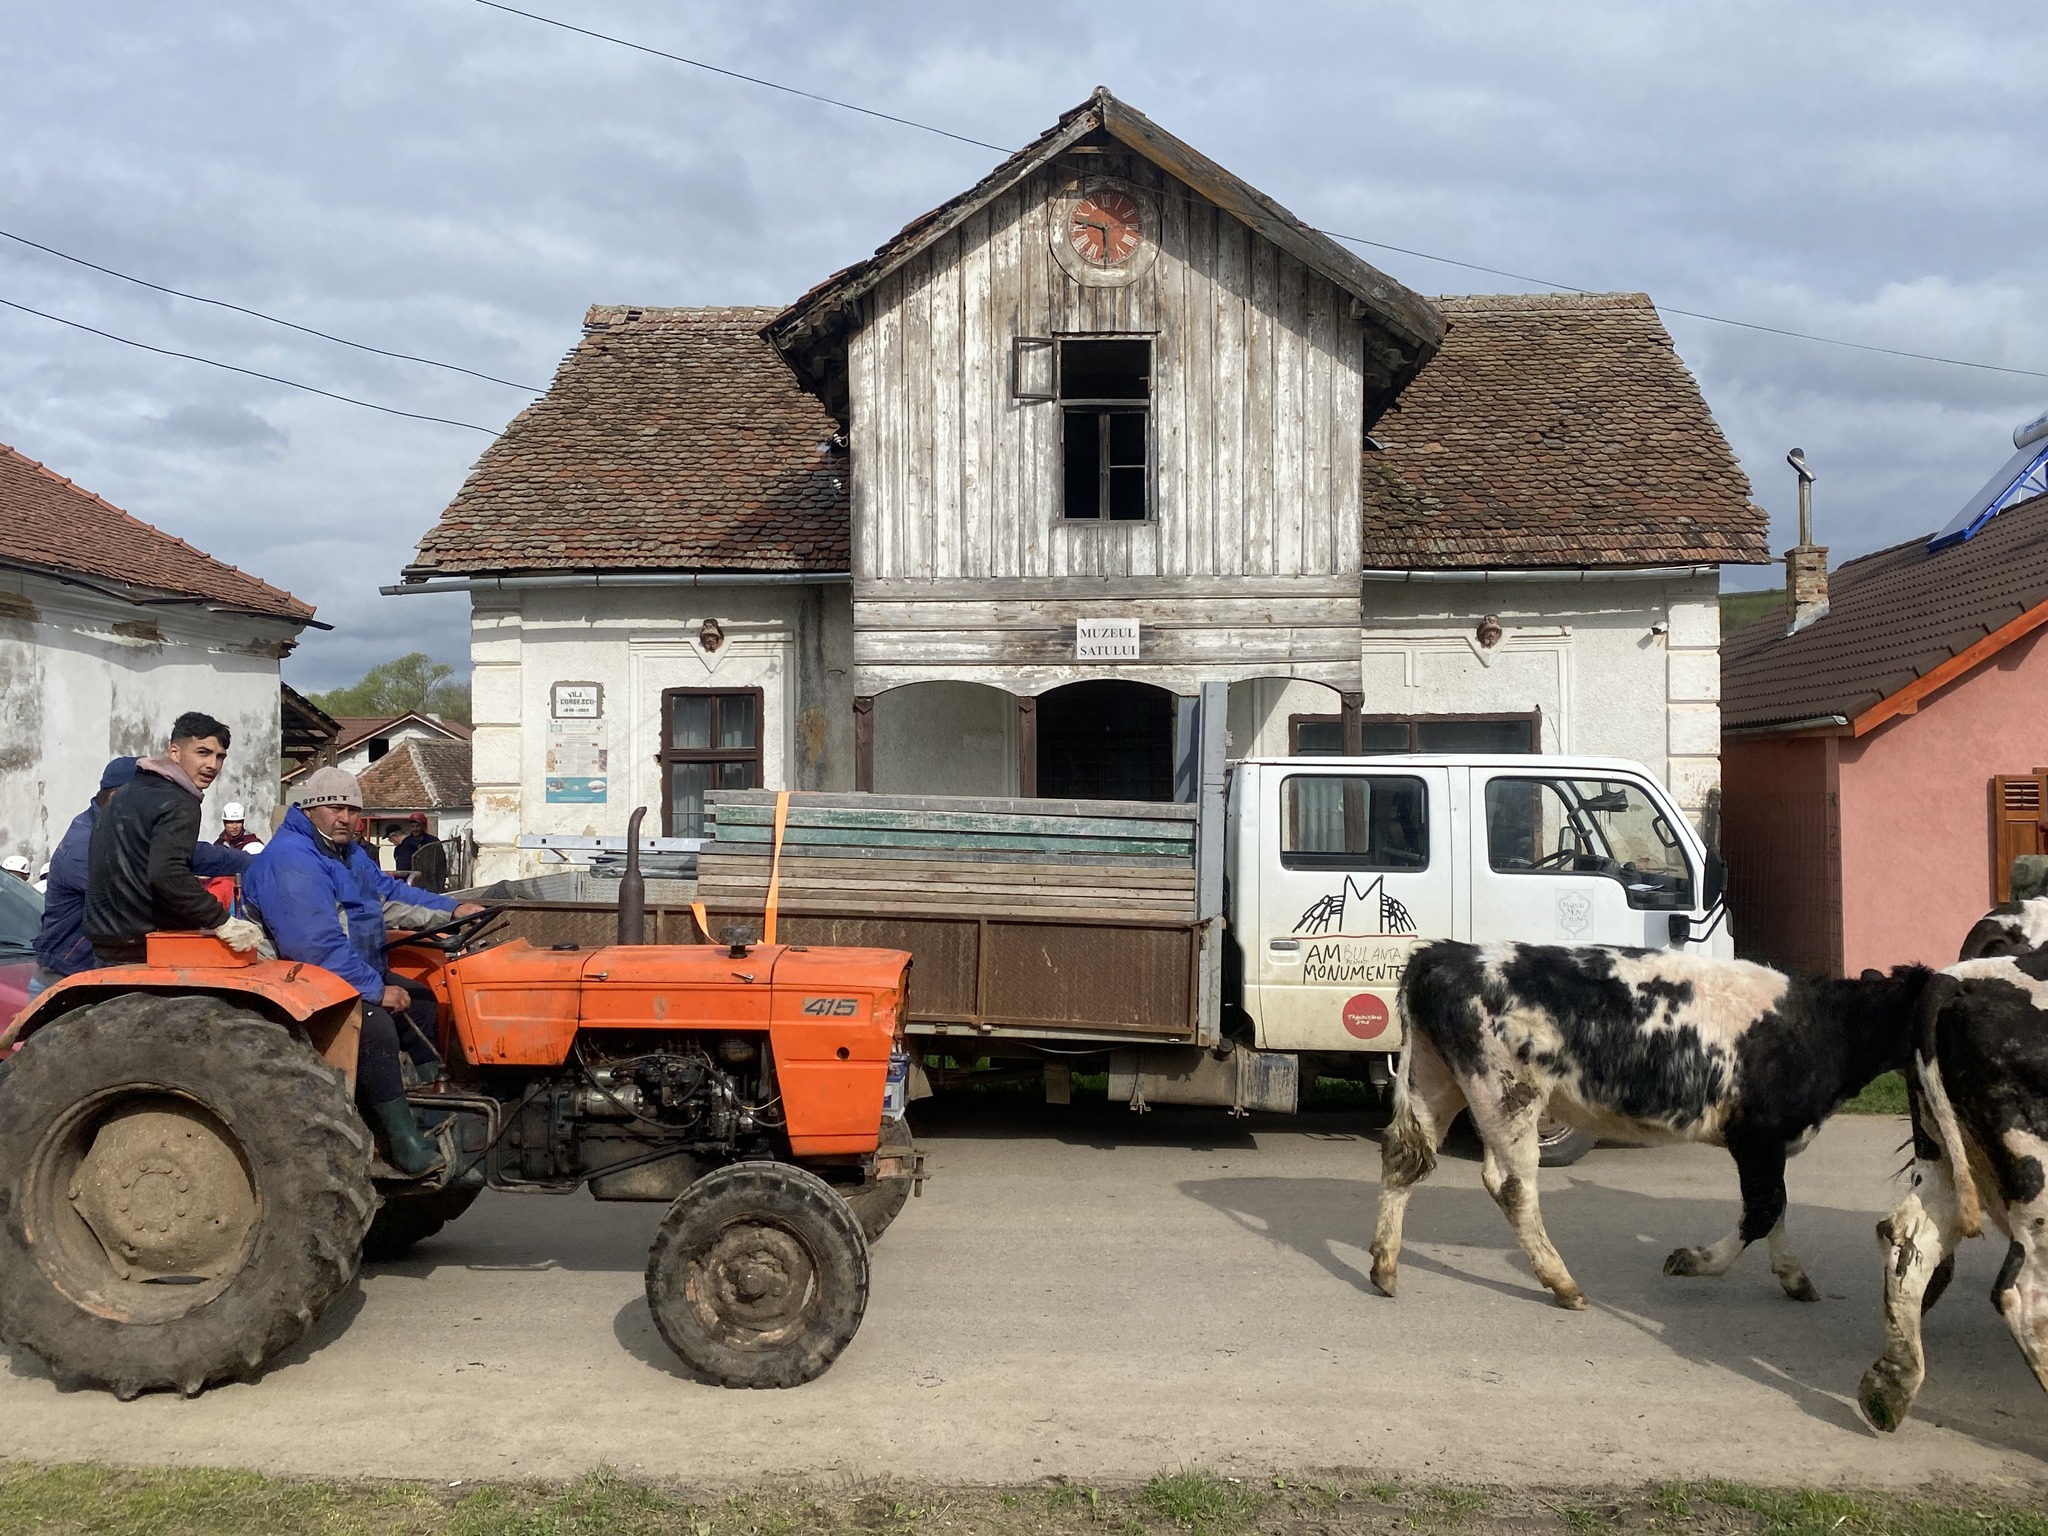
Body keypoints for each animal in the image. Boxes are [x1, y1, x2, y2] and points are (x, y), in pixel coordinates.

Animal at [1376, 946, 1933, 1318]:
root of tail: (1443, 954)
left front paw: (1795, 1278)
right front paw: (1694, 1261)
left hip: (1439, 1082)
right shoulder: (1757, 1135)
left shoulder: (1768, 1144)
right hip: (1509, 1093)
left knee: (1406, 1162)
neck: (1821, 1027)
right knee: (1513, 1188)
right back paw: (1564, 1284)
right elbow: (1764, 1208)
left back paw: (1384, 1267)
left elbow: (1774, 1207)